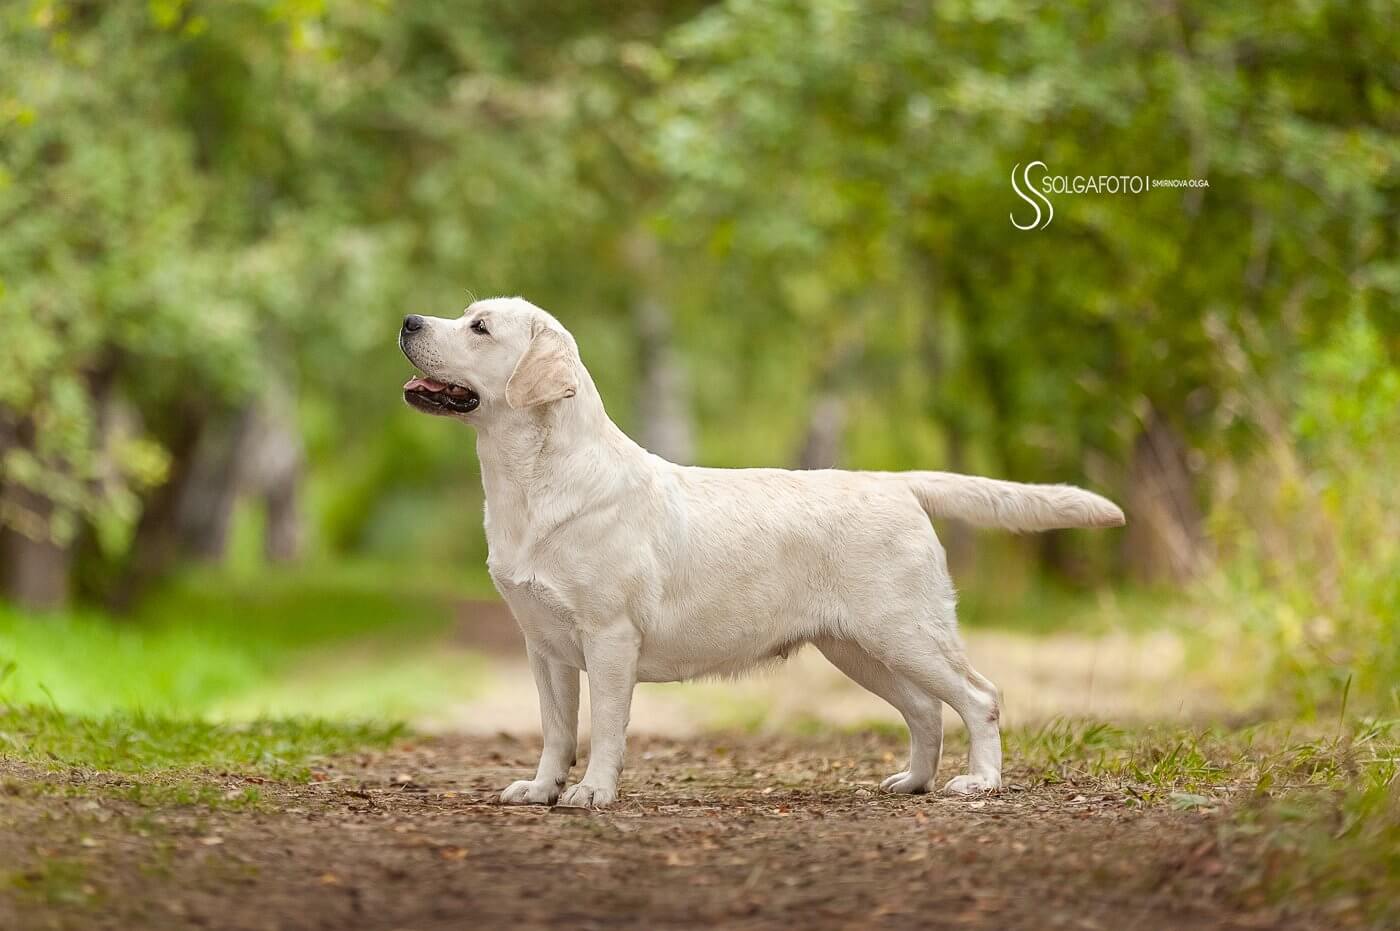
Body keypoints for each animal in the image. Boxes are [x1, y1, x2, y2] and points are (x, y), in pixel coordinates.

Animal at [399, 297, 1124, 808]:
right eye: (465, 314)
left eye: (479, 328)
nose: (408, 320)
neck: (532, 483)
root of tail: (898, 482)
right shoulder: (544, 644)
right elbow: (555, 730)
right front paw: (542, 787)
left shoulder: (609, 637)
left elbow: (604, 727)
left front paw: (593, 791)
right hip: (856, 645)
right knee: (924, 710)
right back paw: (912, 781)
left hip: (907, 630)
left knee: (980, 696)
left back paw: (980, 783)